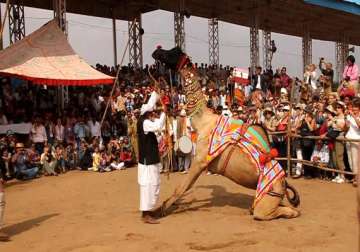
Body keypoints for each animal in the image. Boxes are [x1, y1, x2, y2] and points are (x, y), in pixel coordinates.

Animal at [151, 47, 300, 220]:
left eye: (173, 52)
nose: (157, 51)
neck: (202, 122)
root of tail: (284, 182)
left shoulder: (200, 161)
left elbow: (182, 187)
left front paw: (154, 213)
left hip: (269, 196)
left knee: (271, 212)